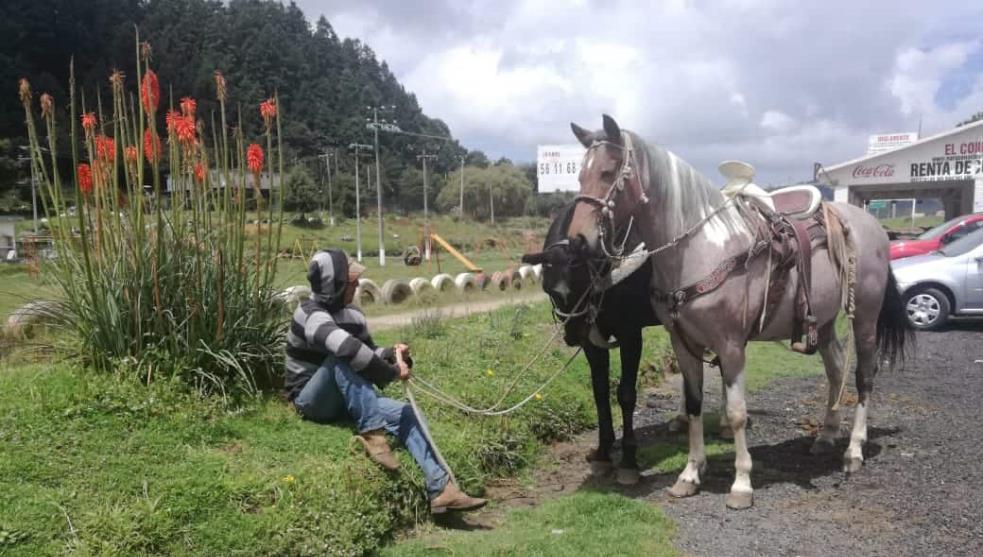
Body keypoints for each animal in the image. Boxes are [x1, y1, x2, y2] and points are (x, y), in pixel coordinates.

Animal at [520, 203, 656, 482]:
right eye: (548, 290)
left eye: (584, 282)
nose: (573, 335)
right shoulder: (593, 343)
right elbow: (600, 391)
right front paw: (603, 452)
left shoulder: (630, 333)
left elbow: (626, 394)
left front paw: (628, 460)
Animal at [564, 114, 912, 508]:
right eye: (580, 175)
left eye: (608, 172)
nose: (577, 241)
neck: (700, 249)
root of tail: (873, 227)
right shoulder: (683, 344)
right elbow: (695, 404)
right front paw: (689, 475)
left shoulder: (730, 346)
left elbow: (736, 413)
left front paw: (741, 483)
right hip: (822, 321)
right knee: (836, 369)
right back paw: (825, 436)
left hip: (865, 317)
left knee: (864, 376)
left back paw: (853, 450)